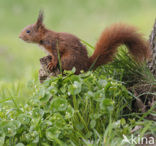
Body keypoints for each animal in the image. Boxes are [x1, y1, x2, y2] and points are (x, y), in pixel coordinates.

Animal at [18, 11, 151, 74]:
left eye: (28, 31)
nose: (19, 37)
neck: (43, 37)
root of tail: (86, 66)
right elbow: (50, 55)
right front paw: (48, 58)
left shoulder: (53, 44)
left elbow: (56, 55)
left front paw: (51, 63)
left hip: (68, 61)